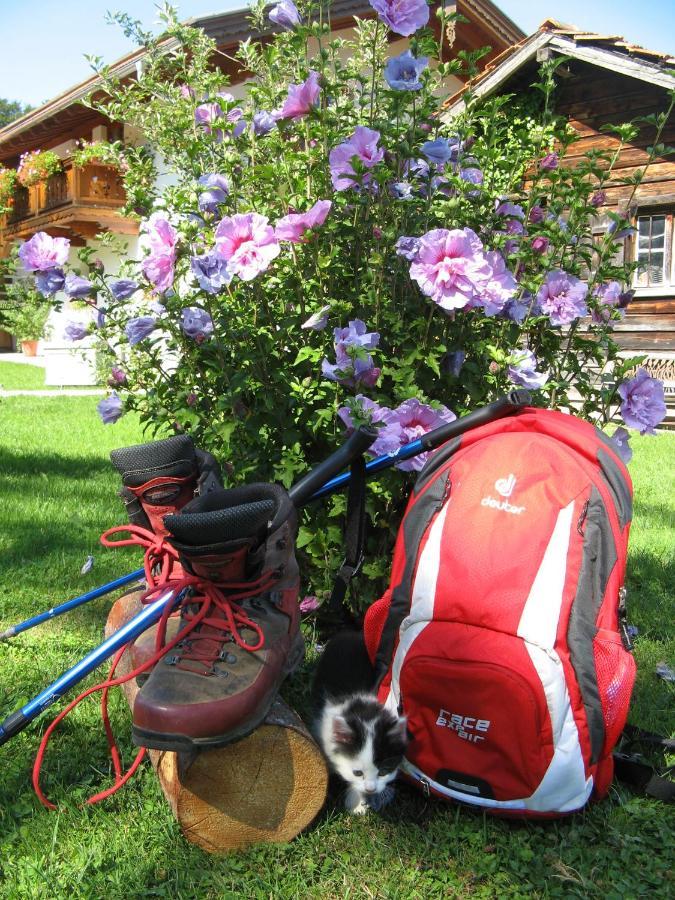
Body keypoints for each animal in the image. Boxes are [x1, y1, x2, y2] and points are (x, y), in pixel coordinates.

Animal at [310, 628, 406, 812]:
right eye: (358, 773)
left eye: (383, 771)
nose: (371, 789)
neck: (360, 708)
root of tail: (351, 633)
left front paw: (357, 802)